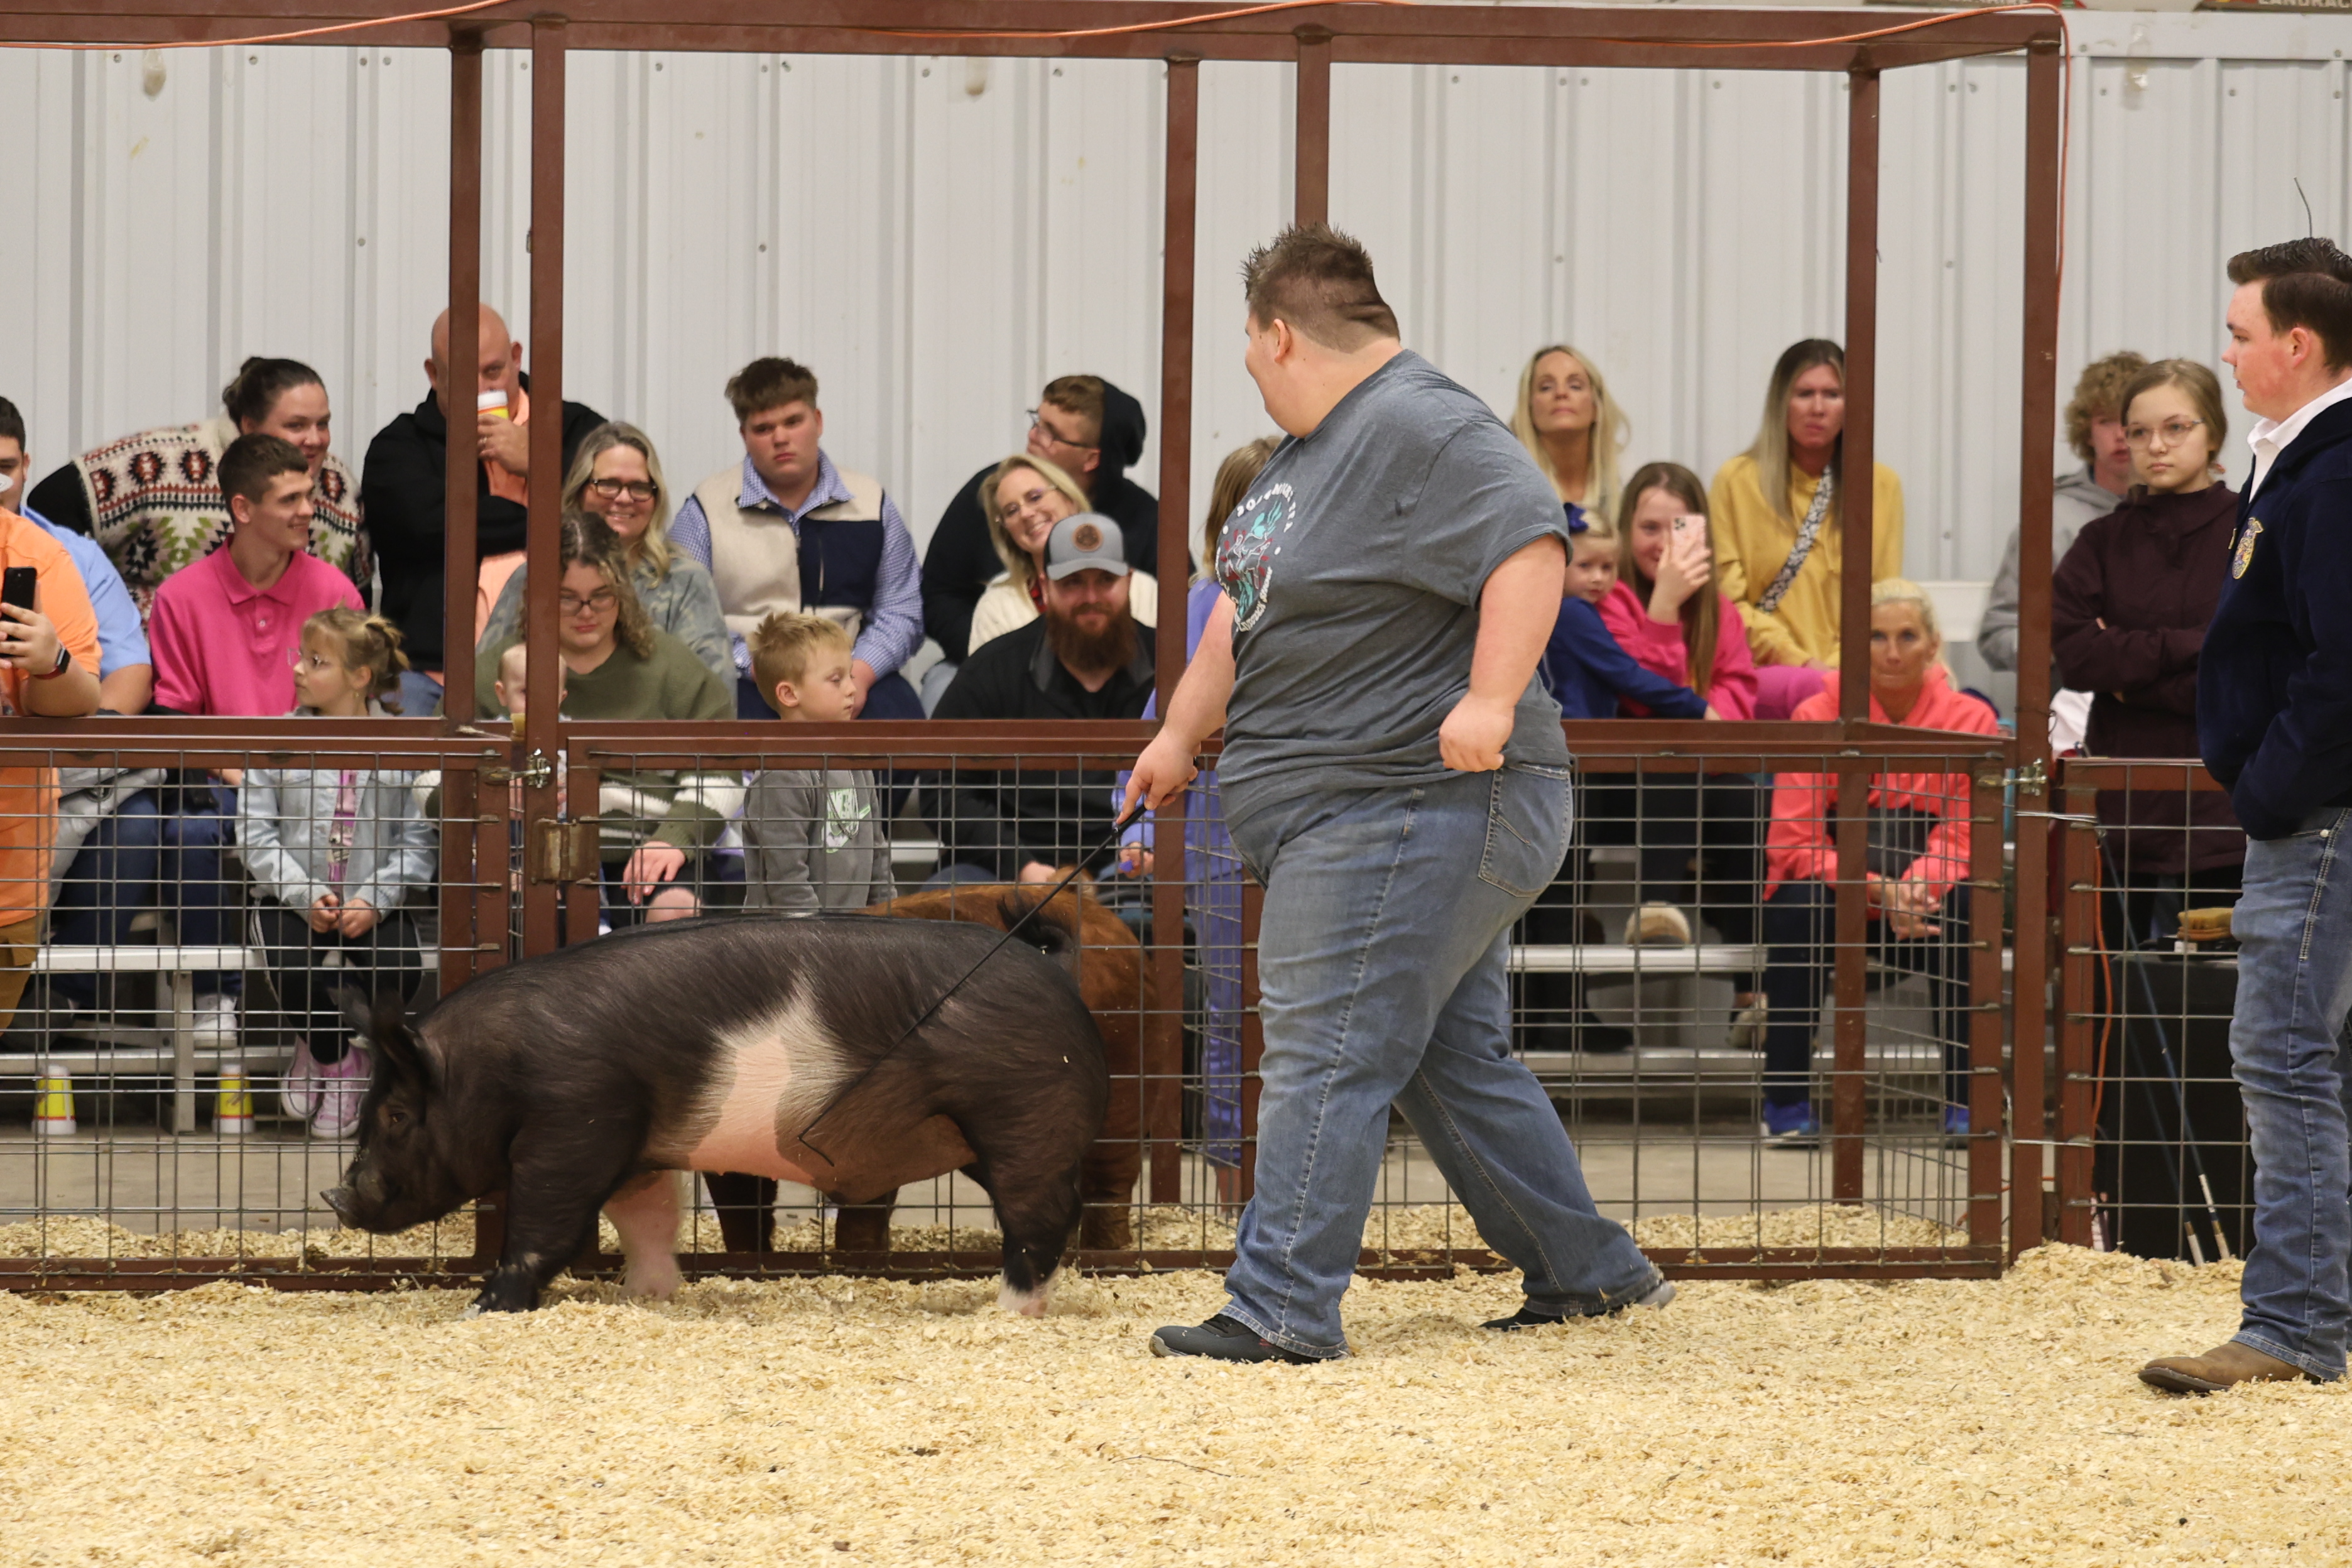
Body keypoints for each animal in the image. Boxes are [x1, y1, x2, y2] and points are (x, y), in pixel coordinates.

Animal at [322, 911, 1109, 1315]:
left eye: (397, 1116)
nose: (339, 1195)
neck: (491, 1067)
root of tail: (1057, 973)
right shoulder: (635, 1145)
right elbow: (645, 1216)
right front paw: (649, 1293)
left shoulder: (575, 1119)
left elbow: (547, 1224)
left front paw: (485, 1307)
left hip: (1021, 1115)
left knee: (1041, 1217)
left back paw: (1002, 1310)